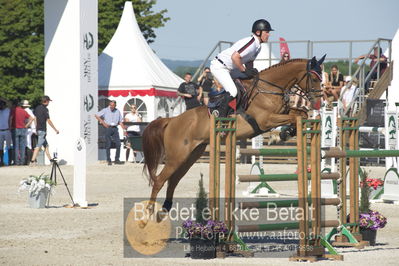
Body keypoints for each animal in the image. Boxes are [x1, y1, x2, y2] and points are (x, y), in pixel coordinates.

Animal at [141, 56, 324, 224]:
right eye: (315, 79)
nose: (319, 103)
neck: (268, 89)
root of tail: (172, 120)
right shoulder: (265, 120)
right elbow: (294, 116)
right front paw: (278, 136)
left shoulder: (280, 114)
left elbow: (300, 114)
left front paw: (284, 134)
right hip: (177, 157)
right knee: (159, 181)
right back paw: (147, 216)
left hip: (190, 156)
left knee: (173, 180)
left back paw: (164, 210)